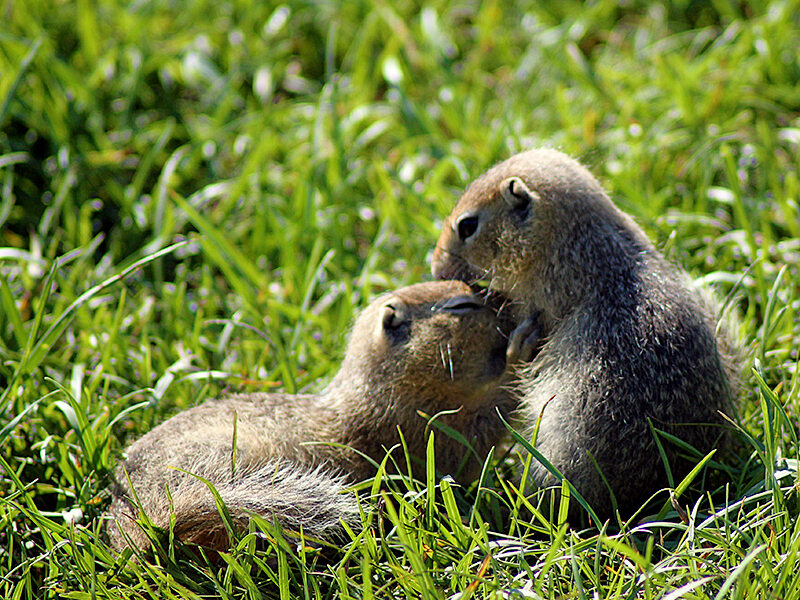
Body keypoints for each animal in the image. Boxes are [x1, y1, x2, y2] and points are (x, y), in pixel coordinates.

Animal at [108, 278, 532, 552]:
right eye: (463, 305)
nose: (510, 311)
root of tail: (148, 522)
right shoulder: (425, 424)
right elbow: (483, 424)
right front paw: (522, 347)